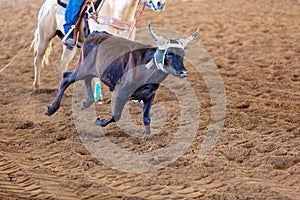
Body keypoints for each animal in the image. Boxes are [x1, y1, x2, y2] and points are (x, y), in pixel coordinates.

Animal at [31, 0, 168, 93]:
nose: (160, 3)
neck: (117, 12)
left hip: (69, 46)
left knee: (62, 64)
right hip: (44, 36)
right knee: (38, 59)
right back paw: (37, 86)